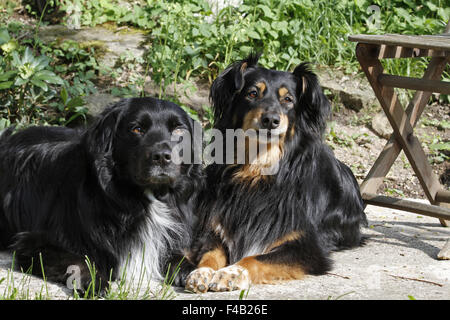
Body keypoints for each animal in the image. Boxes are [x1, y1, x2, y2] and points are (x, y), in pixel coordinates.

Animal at [0, 97, 201, 292]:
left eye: (178, 130)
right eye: (137, 129)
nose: (162, 157)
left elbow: (177, 256)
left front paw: (193, 271)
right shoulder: (33, 242)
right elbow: (78, 260)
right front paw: (95, 280)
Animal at [185, 54, 368, 292]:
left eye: (288, 99)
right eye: (252, 93)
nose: (271, 120)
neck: (256, 171)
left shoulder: (306, 245)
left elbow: (255, 258)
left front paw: (232, 273)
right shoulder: (215, 227)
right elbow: (210, 253)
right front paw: (202, 272)